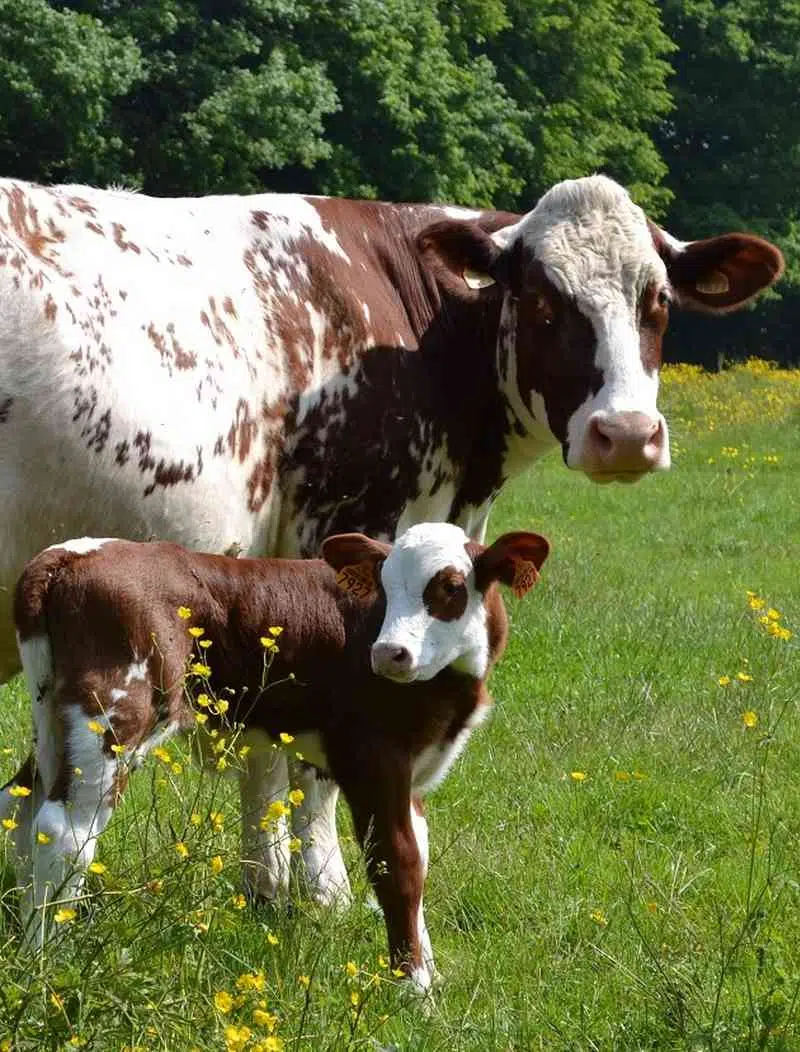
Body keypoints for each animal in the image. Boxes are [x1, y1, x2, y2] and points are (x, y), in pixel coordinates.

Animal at [0, 172, 783, 904]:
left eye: (658, 301)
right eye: (542, 301)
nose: (625, 434)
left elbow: (265, 743)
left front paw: (267, 889)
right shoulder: (349, 523)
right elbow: (309, 759)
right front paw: (325, 895)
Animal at [1, 521, 551, 988]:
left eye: (451, 586)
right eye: (385, 587)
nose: (388, 653)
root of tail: (66, 555)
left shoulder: (411, 774)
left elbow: (420, 854)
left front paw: (428, 971)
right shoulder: (372, 761)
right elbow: (398, 865)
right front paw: (413, 988)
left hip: (55, 720)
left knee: (20, 804)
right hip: (115, 715)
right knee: (65, 829)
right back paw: (47, 958)